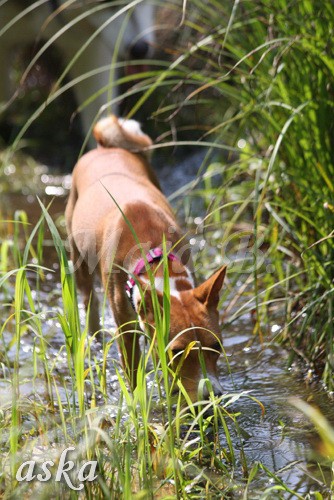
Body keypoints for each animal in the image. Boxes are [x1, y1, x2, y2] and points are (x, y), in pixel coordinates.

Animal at [64, 117, 227, 402]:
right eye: (177, 351)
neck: (154, 258)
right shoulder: (126, 331)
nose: (212, 395)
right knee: (89, 303)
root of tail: (104, 147)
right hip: (79, 260)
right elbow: (133, 377)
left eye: (216, 346)